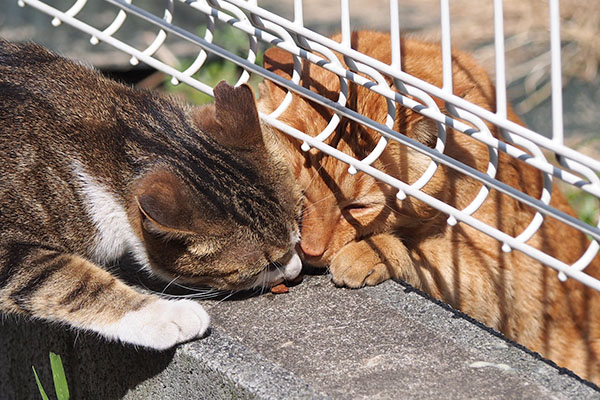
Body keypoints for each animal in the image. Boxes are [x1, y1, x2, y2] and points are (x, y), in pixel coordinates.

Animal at [0, 39, 300, 348]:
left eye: (297, 235)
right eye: (268, 264)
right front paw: (165, 315)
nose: (297, 270)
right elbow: (70, 281)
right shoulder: (9, 252)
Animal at [260, 31, 600, 384]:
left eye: (358, 207)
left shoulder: (506, 277)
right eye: (300, 194)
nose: (310, 251)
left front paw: (373, 252)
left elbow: (431, 256)